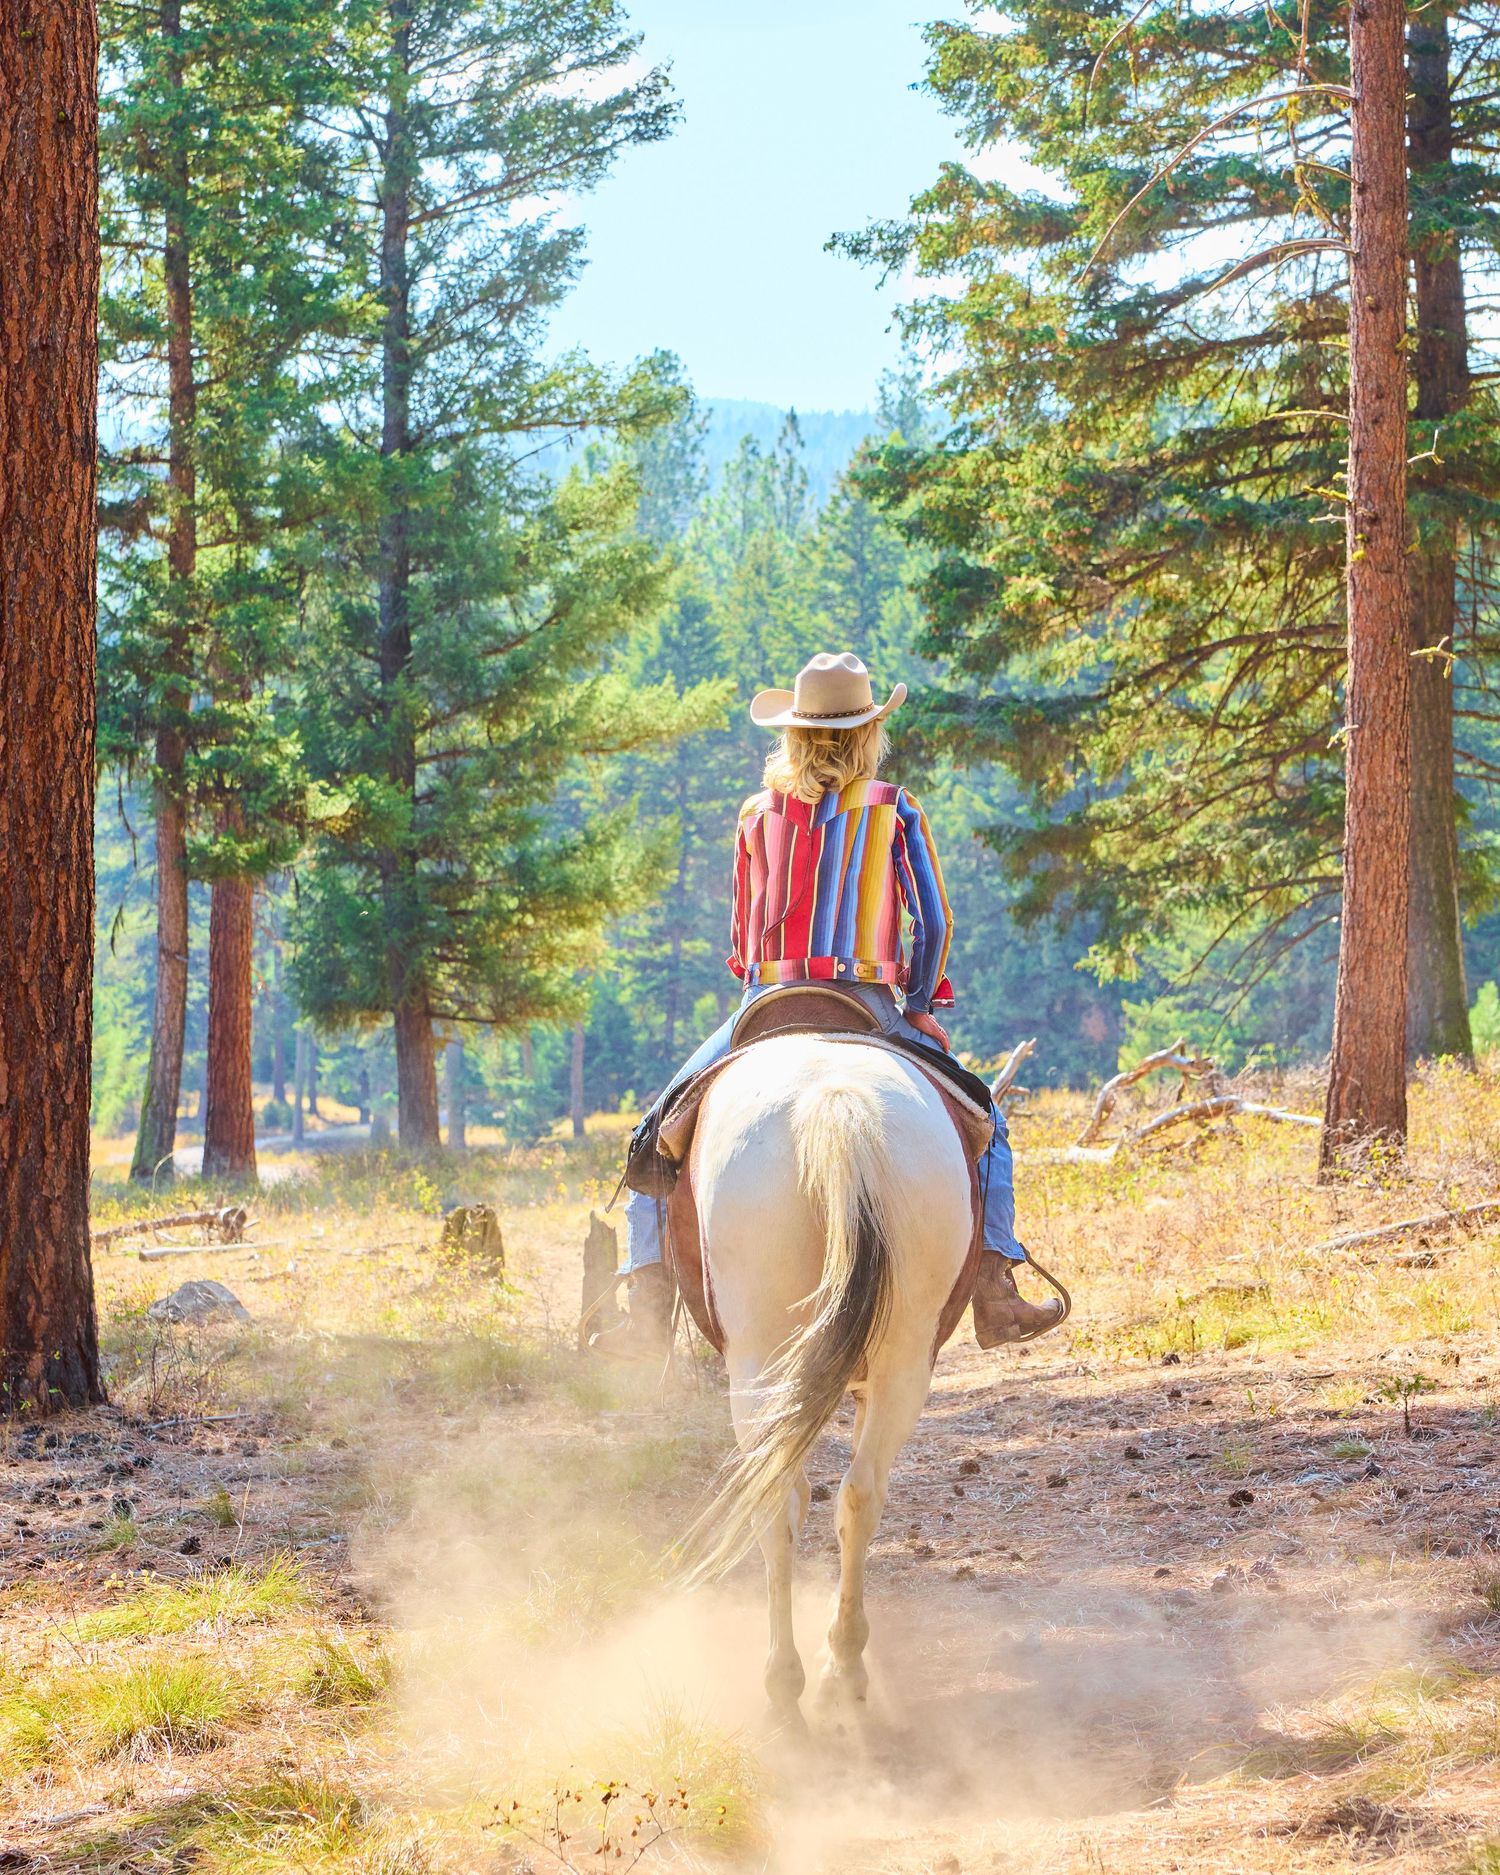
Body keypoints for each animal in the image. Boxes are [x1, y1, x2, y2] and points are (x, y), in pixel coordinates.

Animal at [676, 1030, 975, 1718]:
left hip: (758, 1362)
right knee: (860, 1495)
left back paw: (787, 1680)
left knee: (775, 1497)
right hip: (903, 1363)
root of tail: (834, 1104)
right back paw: (842, 1672)